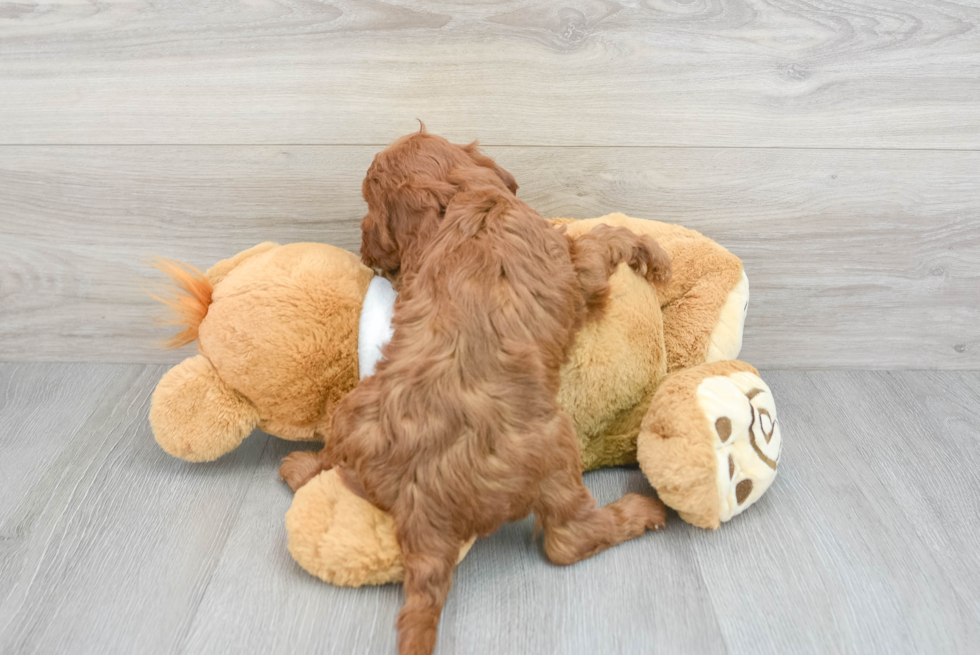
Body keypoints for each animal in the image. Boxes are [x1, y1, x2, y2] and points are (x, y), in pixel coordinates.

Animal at [280, 133, 668, 655]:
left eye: (370, 206)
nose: (363, 249)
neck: (457, 201)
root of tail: (420, 504)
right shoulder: (574, 263)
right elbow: (604, 238)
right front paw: (653, 252)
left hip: (350, 417)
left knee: (323, 462)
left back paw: (297, 465)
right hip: (554, 450)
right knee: (569, 539)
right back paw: (640, 512)